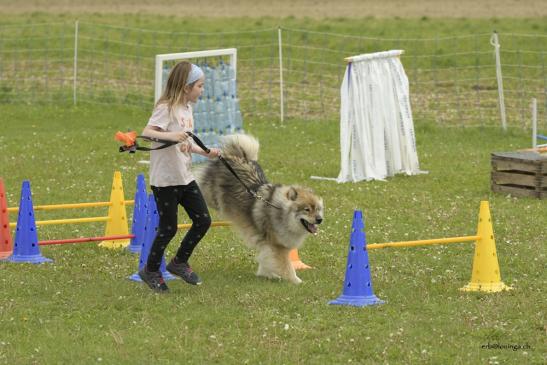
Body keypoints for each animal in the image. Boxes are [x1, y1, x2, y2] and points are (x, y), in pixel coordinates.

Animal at [198, 134, 324, 284]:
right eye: (307, 209)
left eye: (317, 209)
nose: (320, 220)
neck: (281, 211)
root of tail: (231, 156)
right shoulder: (278, 246)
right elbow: (287, 267)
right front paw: (297, 282)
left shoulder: (269, 244)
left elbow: (265, 258)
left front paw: (266, 274)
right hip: (211, 196)